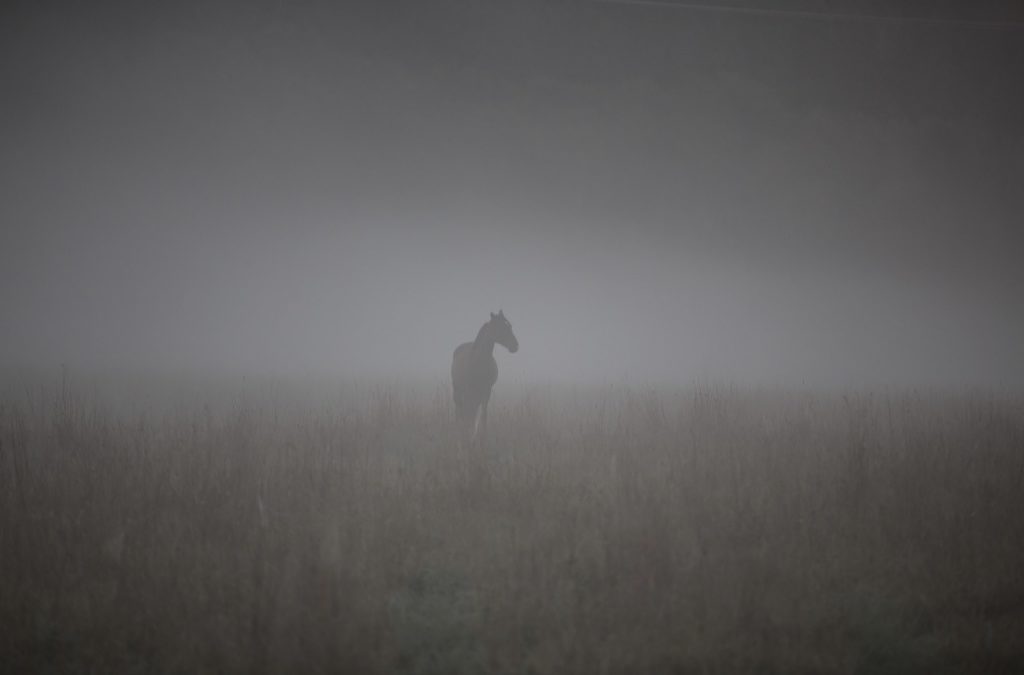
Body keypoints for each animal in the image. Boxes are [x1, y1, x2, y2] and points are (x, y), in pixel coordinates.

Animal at [450, 309, 520, 444]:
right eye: (501, 327)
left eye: (509, 326)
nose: (515, 346)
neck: (479, 361)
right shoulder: (470, 391)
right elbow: (469, 413)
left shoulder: (486, 391)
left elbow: (483, 414)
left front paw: (482, 436)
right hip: (458, 390)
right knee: (459, 410)